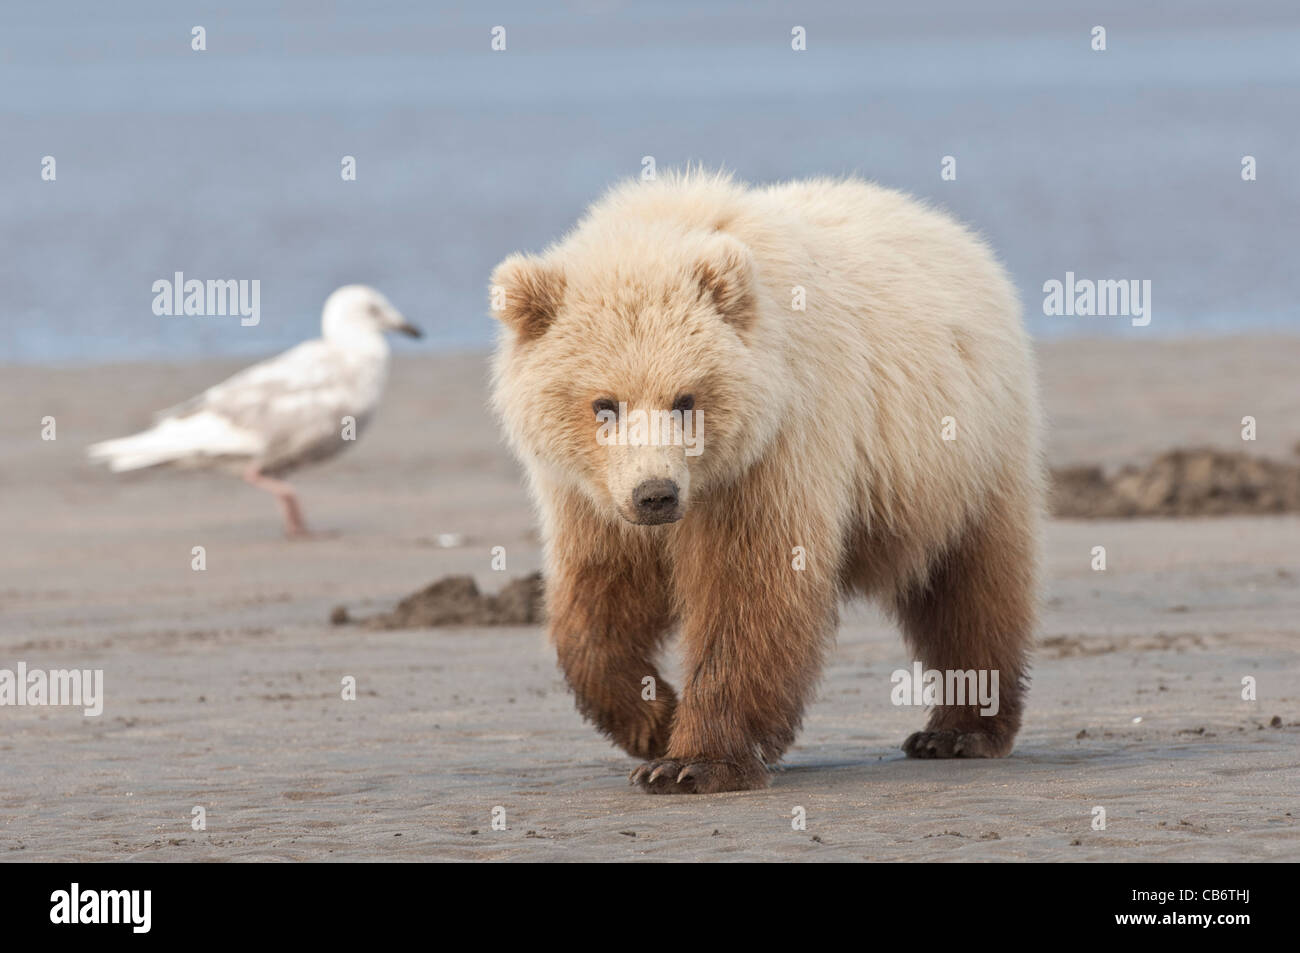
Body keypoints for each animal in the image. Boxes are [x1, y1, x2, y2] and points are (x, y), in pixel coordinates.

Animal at [489, 169, 1044, 794]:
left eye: (685, 399)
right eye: (604, 404)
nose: (656, 494)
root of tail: (951, 229)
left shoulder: (774, 452)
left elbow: (750, 589)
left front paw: (690, 762)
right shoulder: (588, 495)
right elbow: (599, 598)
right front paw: (654, 720)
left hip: (966, 455)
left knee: (973, 585)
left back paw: (959, 729)